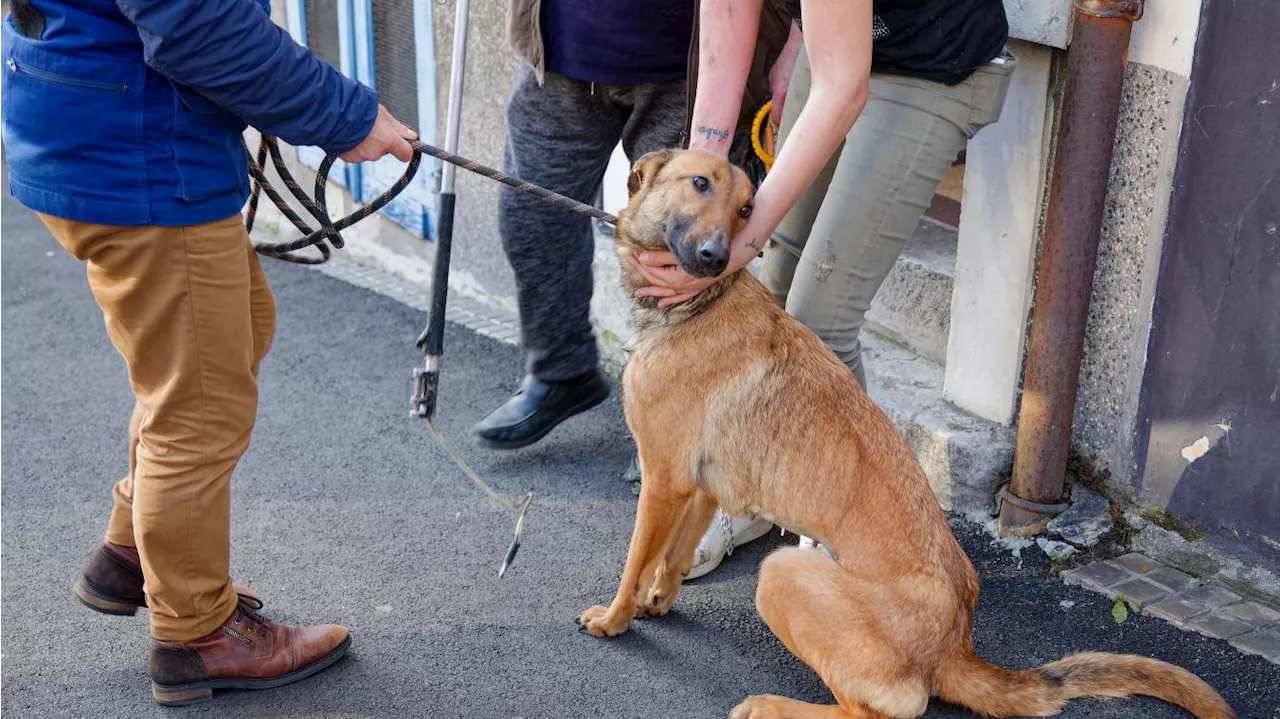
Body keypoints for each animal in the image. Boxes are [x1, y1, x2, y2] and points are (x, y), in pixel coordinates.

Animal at [583, 147, 1239, 716]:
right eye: (700, 184)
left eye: (747, 208)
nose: (716, 257)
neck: (702, 302)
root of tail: (955, 647)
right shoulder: (697, 484)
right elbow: (670, 557)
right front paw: (658, 600)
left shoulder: (662, 478)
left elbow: (636, 559)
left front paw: (616, 619)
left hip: (782, 577)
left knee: (878, 711)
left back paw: (770, 706)